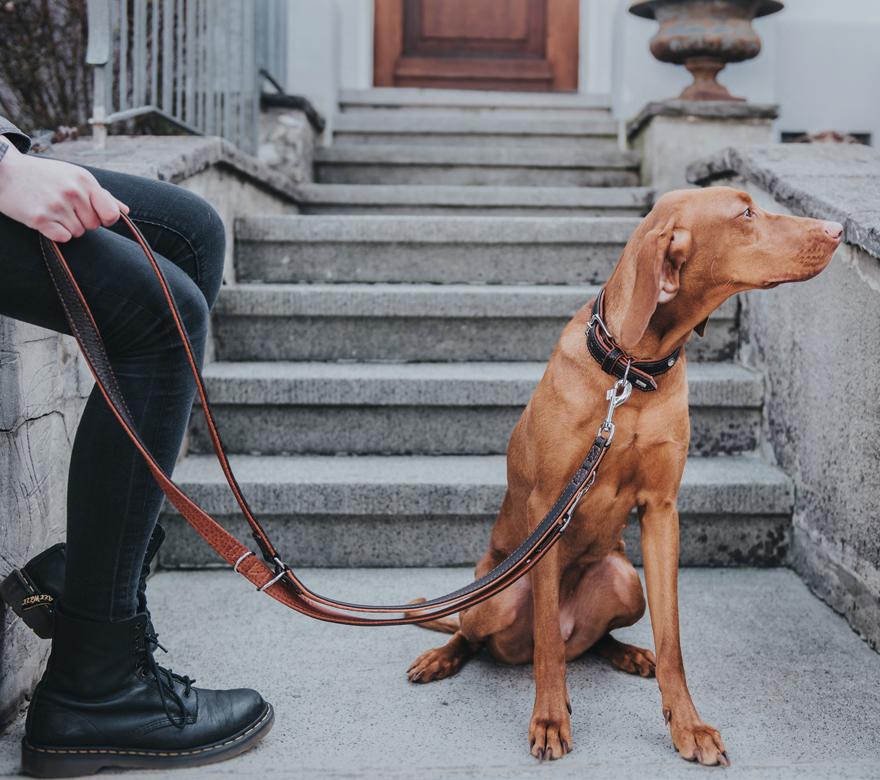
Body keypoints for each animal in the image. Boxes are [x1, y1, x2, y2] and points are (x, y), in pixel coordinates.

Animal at [410, 190, 844, 768]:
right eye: (746, 214)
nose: (838, 230)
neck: (632, 371)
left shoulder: (662, 510)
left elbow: (672, 640)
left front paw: (688, 725)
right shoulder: (548, 506)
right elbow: (548, 643)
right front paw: (550, 719)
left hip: (623, 579)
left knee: (589, 641)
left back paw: (629, 653)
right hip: (495, 597)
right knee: (487, 636)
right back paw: (443, 656)